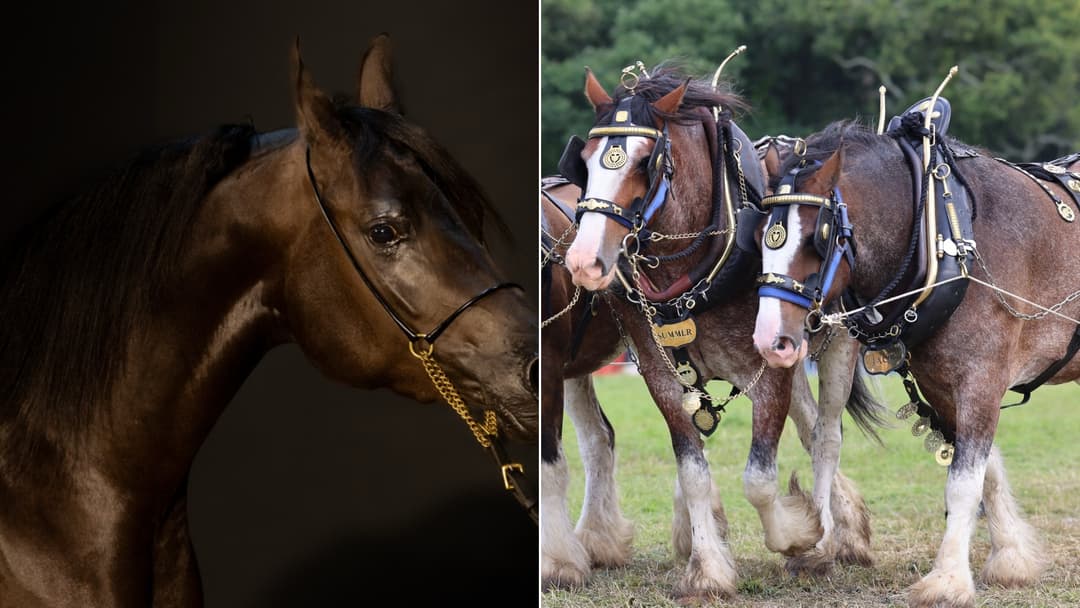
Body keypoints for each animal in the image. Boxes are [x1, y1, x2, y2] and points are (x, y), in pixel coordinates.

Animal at [551, 63, 886, 599]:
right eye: (583, 161)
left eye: (644, 162)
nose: (583, 260)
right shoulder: (663, 378)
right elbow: (693, 472)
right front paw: (708, 568)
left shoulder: (768, 371)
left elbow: (760, 479)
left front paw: (801, 531)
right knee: (809, 425)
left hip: (836, 345)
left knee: (826, 437)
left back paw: (830, 539)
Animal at [750, 111, 1080, 607]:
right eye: (760, 236)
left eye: (817, 237)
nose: (771, 339)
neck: (945, 230)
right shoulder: (942, 386)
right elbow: (983, 471)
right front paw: (1011, 558)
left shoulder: (982, 380)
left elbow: (963, 483)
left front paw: (947, 579)